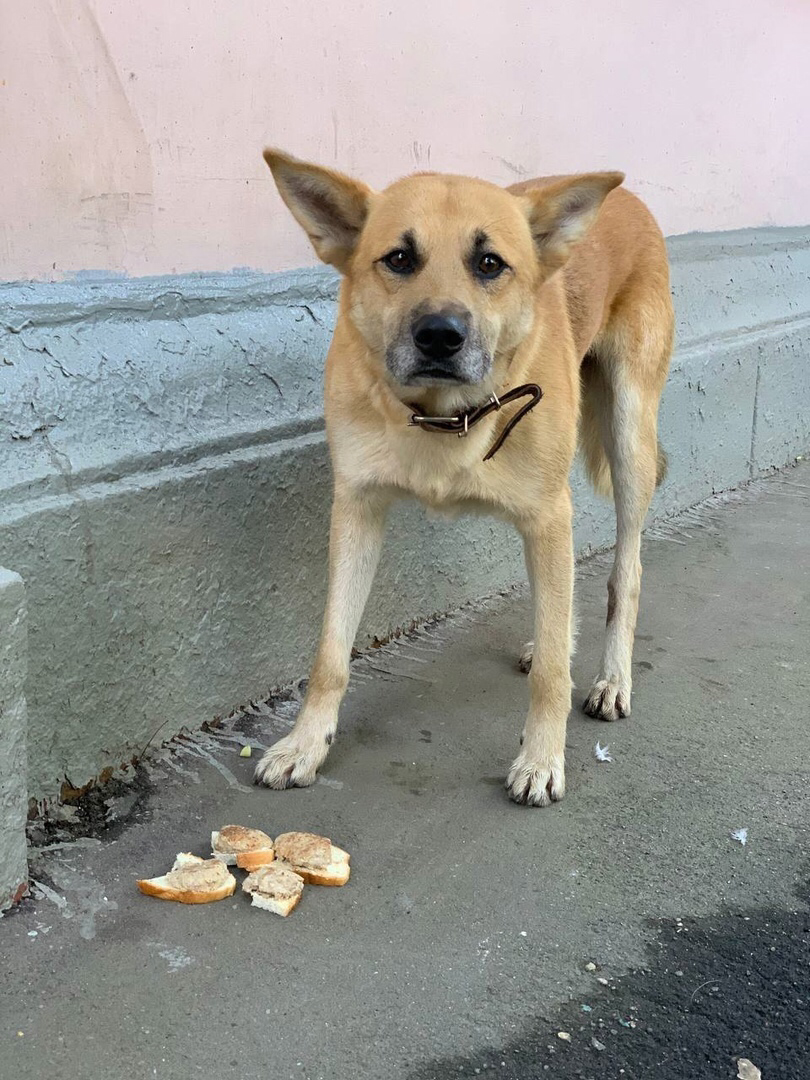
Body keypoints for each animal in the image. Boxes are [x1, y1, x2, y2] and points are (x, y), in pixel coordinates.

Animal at [253, 150, 673, 812]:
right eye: (400, 258)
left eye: (489, 263)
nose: (440, 335)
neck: (444, 415)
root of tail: (629, 204)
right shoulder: (357, 509)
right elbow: (330, 651)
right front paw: (305, 743)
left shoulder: (547, 515)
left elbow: (552, 676)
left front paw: (542, 758)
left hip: (630, 438)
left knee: (624, 572)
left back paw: (610, 677)